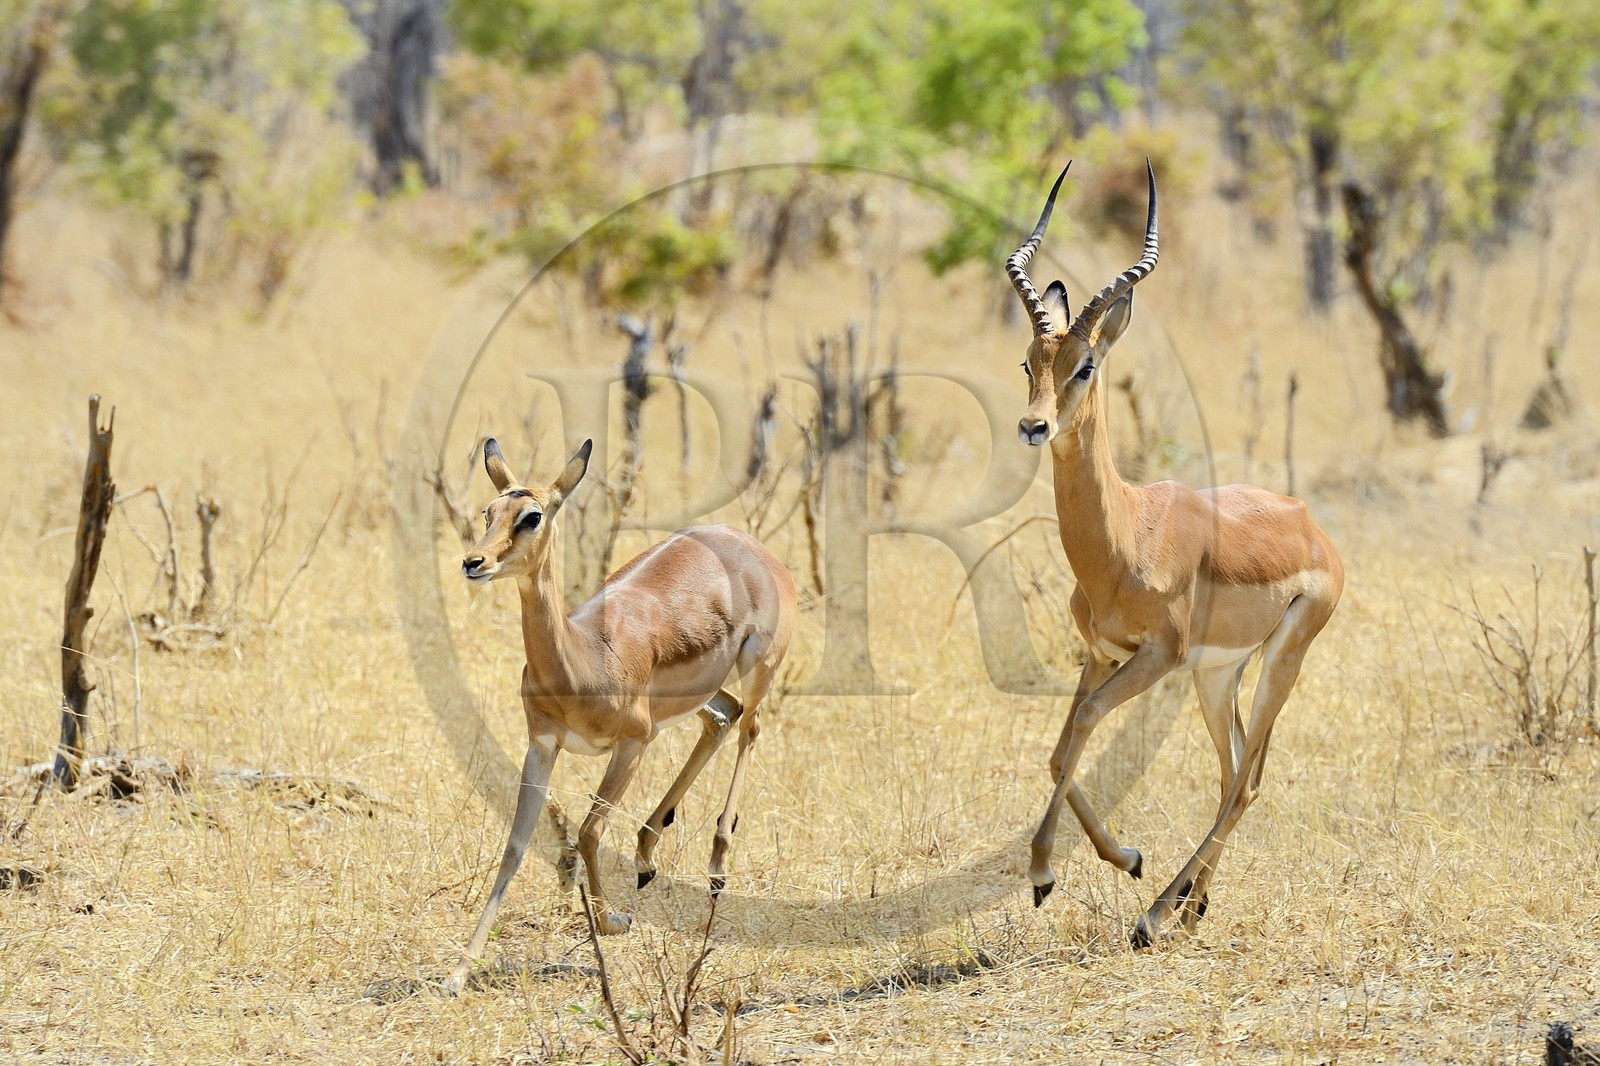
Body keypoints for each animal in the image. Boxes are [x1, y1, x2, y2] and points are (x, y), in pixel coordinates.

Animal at [450, 437, 796, 989]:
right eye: (489, 511)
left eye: (532, 516)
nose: (473, 561)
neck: (583, 658)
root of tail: (754, 549)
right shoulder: (541, 747)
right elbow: (515, 847)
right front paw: (460, 971)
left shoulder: (632, 744)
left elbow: (589, 833)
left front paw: (613, 921)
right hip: (699, 694)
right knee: (723, 717)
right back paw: (646, 860)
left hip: (758, 667)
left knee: (751, 727)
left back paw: (717, 865)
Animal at [1007, 163, 1344, 946]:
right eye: (1028, 362)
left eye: (1086, 365)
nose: (1033, 427)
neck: (1130, 535)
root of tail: (1310, 525)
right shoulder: (1101, 651)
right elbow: (1060, 748)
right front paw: (1122, 858)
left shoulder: (1155, 656)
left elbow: (1086, 723)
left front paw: (1046, 872)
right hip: (1217, 677)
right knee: (1235, 775)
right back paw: (1191, 905)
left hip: (1280, 661)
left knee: (1248, 779)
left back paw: (1156, 916)